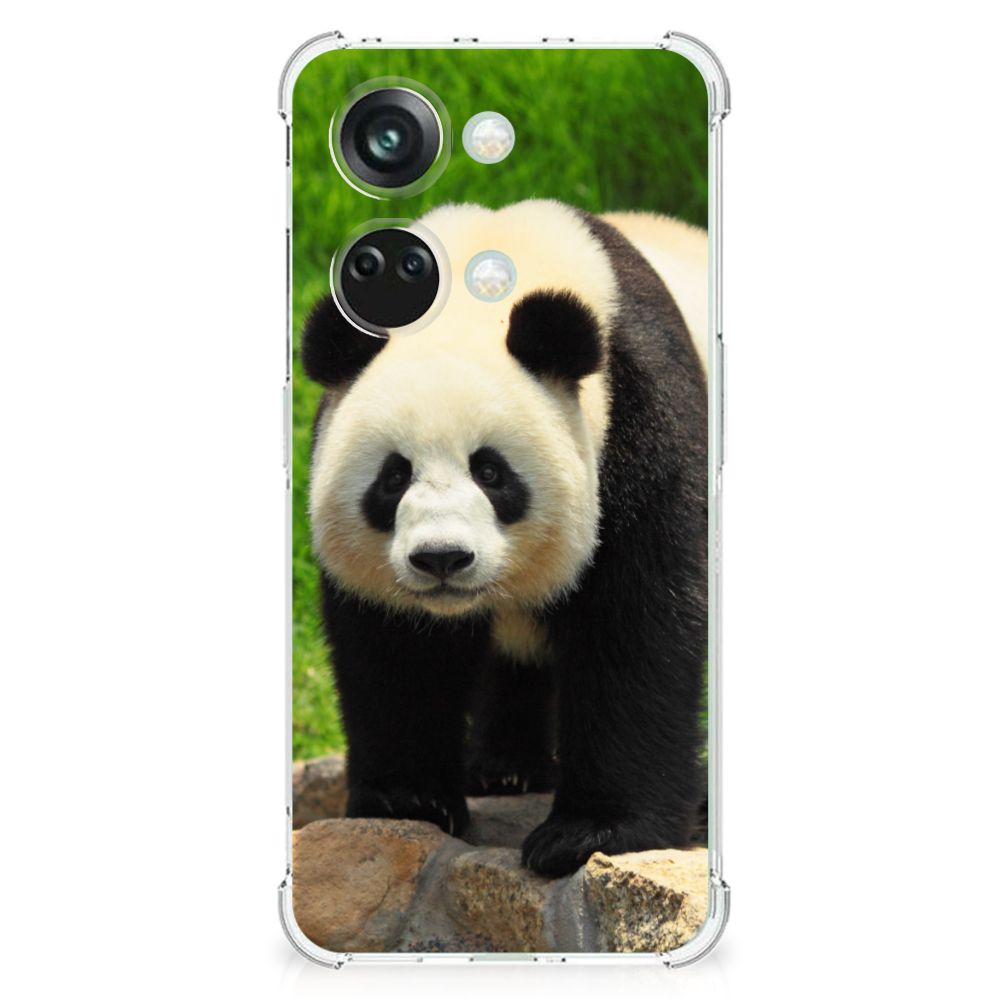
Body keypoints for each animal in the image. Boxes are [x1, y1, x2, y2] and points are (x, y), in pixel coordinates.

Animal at [302, 199, 708, 877]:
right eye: (393, 477)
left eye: (490, 472)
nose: (442, 558)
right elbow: (396, 650)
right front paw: (408, 800)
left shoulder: (641, 421)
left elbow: (639, 624)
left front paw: (589, 833)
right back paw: (504, 769)